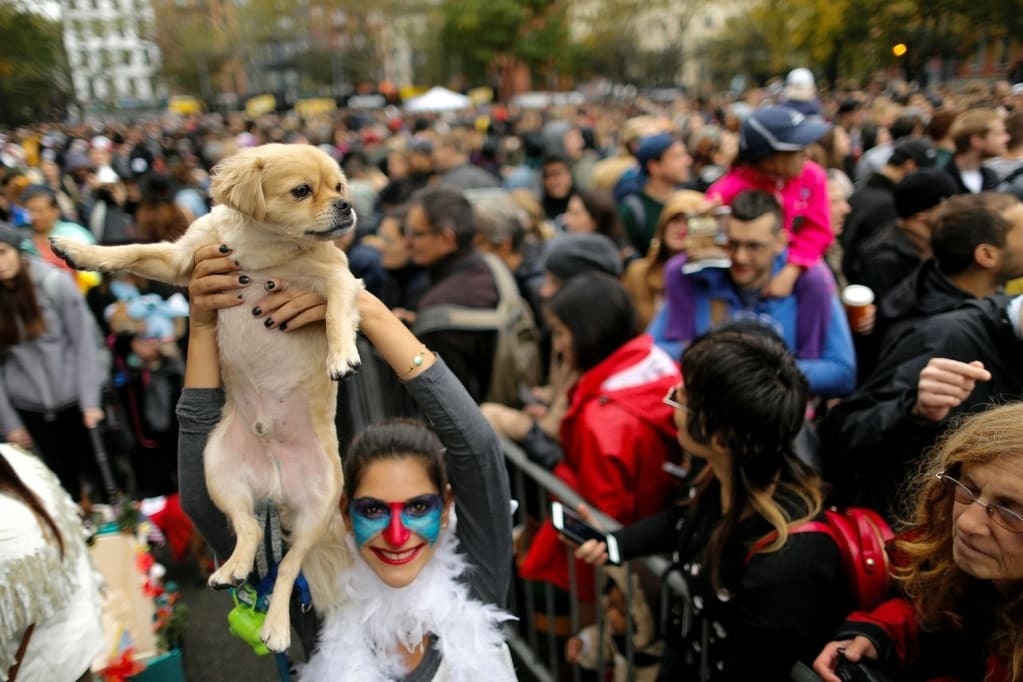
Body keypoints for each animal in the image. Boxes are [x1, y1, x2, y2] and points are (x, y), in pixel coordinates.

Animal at [54, 143, 364, 650]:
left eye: (339, 187)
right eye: (303, 191)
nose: (346, 206)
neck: (263, 249)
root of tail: (276, 488)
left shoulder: (338, 280)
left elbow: (337, 312)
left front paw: (341, 354)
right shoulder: (183, 259)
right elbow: (132, 251)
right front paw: (79, 252)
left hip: (317, 511)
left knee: (288, 567)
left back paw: (276, 627)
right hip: (219, 472)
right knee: (249, 530)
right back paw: (232, 569)